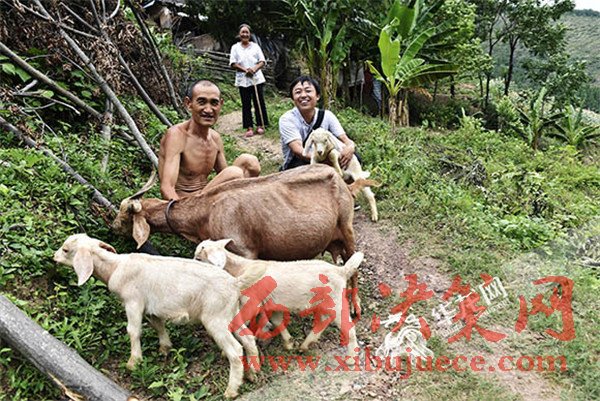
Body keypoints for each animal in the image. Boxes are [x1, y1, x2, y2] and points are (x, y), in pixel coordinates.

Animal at [53, 233, 265, 399]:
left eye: (66, 249)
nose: (54, 257)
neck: (115, 267)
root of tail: (235, 283)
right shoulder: (151, 308)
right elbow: (158, 325)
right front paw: (165, 348)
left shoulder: (133, 302)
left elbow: (133, 331)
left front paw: (133, 363)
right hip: (231, 313)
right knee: (247, 337)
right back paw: (253, 373)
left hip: (215, 318)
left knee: (235, 349)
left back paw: (231, 391)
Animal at [194, 238, 364, 356]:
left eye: (198, 258)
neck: (241, 269)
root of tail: (341, 271)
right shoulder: (272, 303)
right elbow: (277, 321)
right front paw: (289, 343)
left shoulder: (251, 302)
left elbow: (243, 321)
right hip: (325, 302)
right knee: (323, 321)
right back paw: (305, 345)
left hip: (336, 300)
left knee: (347, 326)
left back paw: (351, 357)